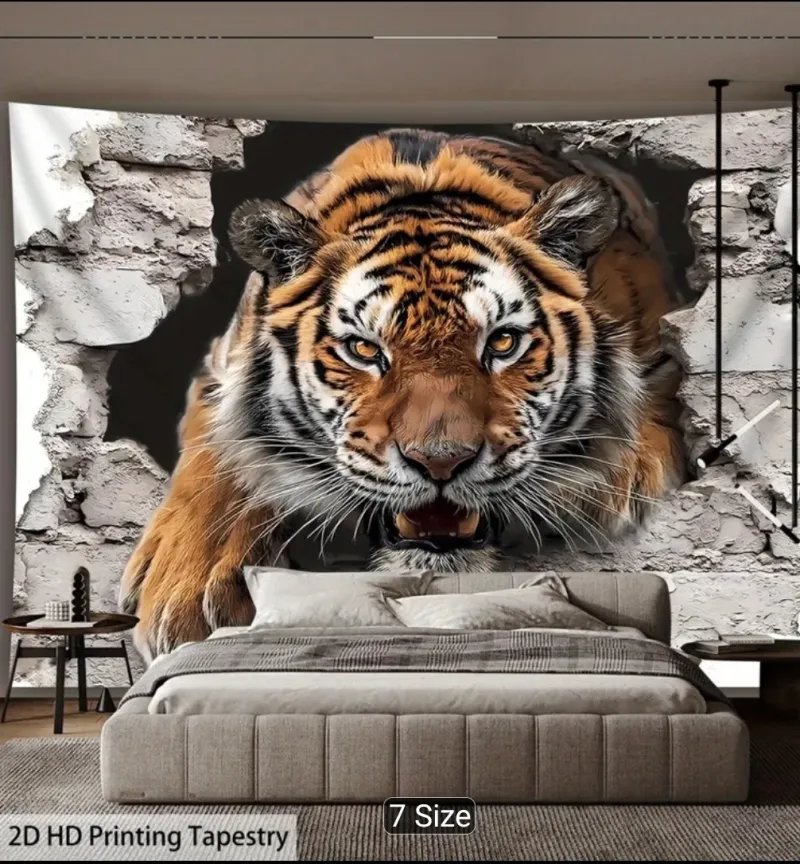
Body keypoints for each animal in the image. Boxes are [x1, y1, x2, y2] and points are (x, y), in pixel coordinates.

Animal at [120, 127, 686, 663]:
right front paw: (188, 589)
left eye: (502, 342)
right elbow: (222, 452)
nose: (440, 462)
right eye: (364, 349)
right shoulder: (219, 366)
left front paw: (621, 471)